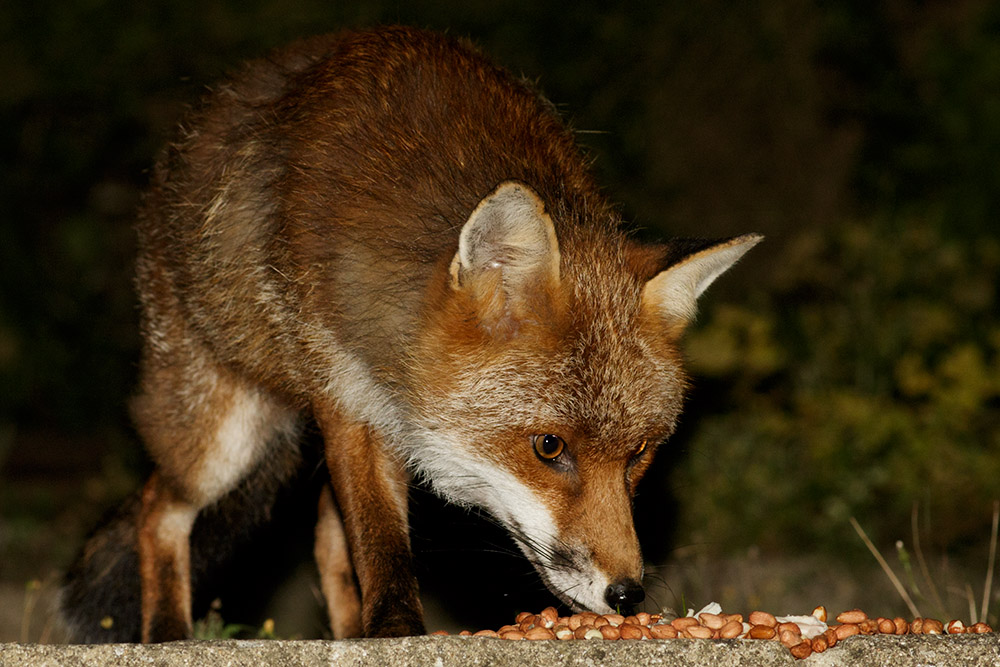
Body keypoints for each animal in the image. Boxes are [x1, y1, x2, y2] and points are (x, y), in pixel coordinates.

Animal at [59, 25, 760, 642]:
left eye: (639, 453)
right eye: (548, 448)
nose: (626, 595)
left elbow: (358, 543)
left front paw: (377, 632)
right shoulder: (349, 395)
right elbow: (381, 544)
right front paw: (397, 633)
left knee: (321, 532)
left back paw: (344, 630)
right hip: (222, 436)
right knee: (160, 509)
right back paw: (167, 633)